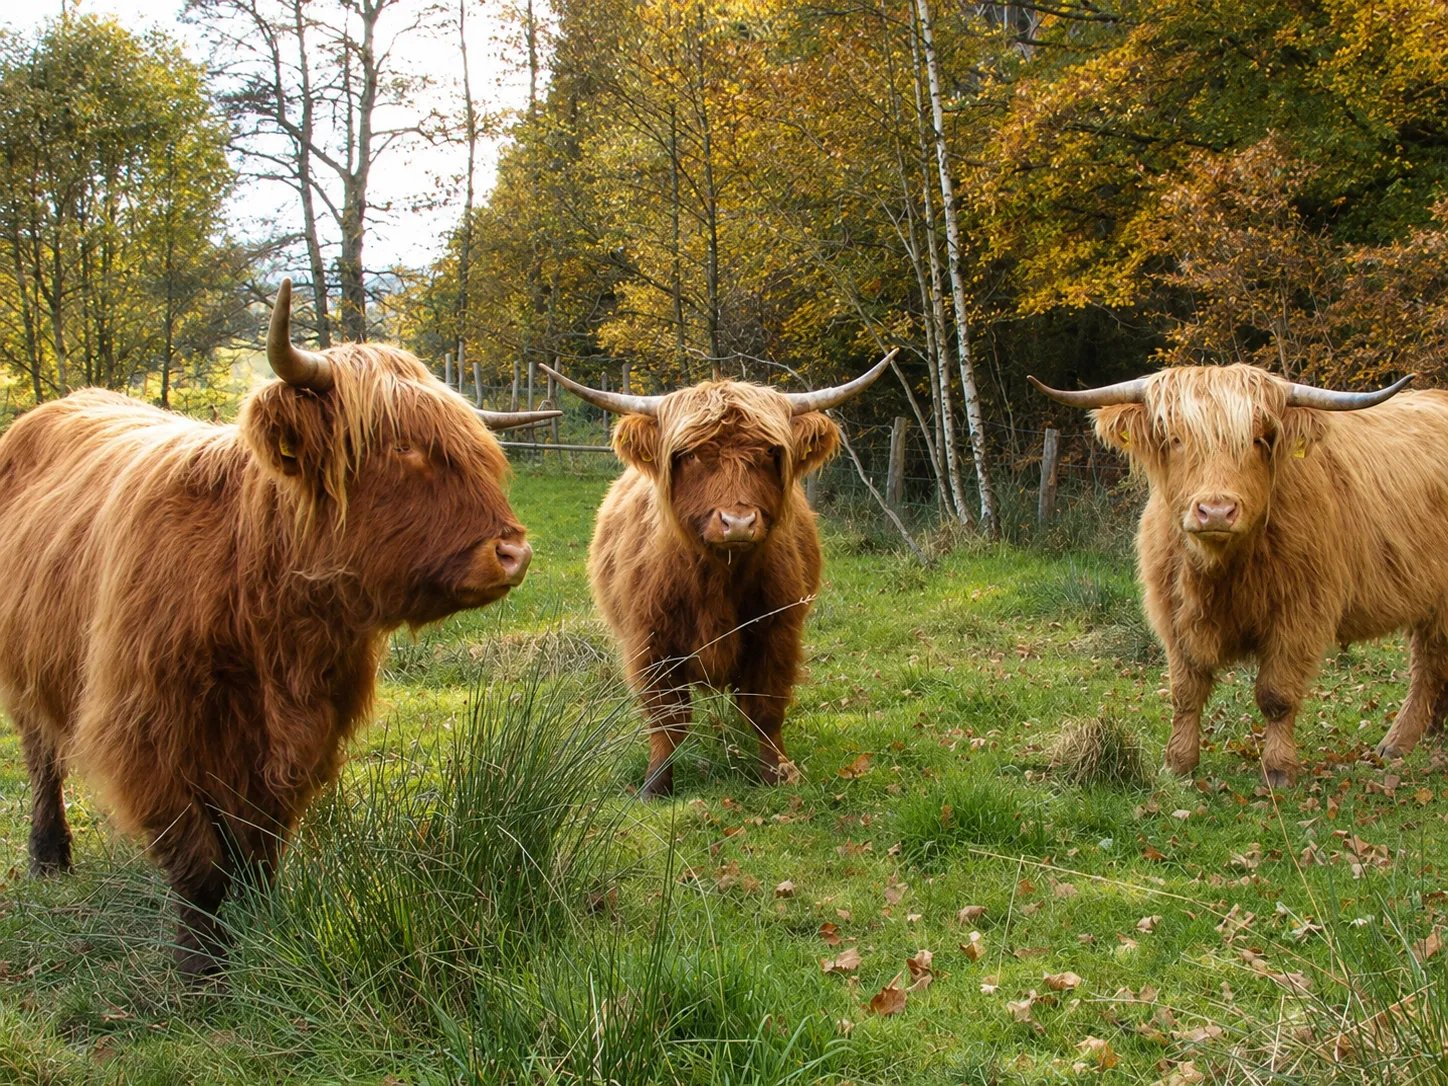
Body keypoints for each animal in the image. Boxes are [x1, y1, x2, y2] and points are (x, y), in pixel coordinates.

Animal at [0, 280, 558, 976]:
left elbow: (257, 845)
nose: (514, 553)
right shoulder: (147, 731)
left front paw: (264, 930)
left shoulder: (303, 733)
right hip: (28, 673)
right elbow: (197, 861)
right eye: (402, 448)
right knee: (42, 757)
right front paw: (201, 967)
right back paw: (48, 854)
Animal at [542, 354, 893, 798]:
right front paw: (655, 785)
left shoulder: (776, 632)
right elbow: (668, 718)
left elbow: (764, 708)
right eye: (691, 455)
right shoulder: (650, 642)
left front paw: (777, 772)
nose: (738, 522)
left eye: (769, 451)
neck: (717, 579)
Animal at [1029, 363, 1442, 786]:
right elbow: (1185, 691)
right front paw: (1179, 763)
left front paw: (1278, 769)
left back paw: (1397, 743)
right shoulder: (1172, 613)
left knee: (1426, 666)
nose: (1216, 511)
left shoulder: (1299, 615)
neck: (1221, 567)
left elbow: (1276, 695)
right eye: (1175, 439)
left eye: (1259, 440)